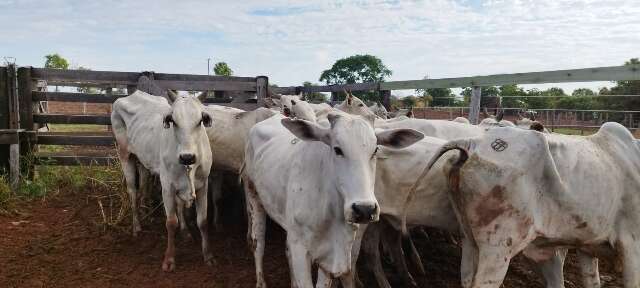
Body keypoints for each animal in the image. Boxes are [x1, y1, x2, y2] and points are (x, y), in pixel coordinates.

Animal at [113, 90, 215, 272]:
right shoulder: (167, 186)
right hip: (125, 155)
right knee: (133, 191)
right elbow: (171, 222)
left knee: (144, 185)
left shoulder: (203, 185)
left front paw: (207, 255)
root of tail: (133, 94)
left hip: (144, 161)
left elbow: (202, 221)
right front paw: (169, 259)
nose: (187, 157)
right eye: (173, 120)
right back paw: (137, 226)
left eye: (200, 121)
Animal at [242, 111, 422, 286]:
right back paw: (260, 282)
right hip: (254, 196)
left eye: (375, 150)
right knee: (258, 242)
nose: (365, 209)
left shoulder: (330, 256)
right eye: (337, 149)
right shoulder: (300, 248)